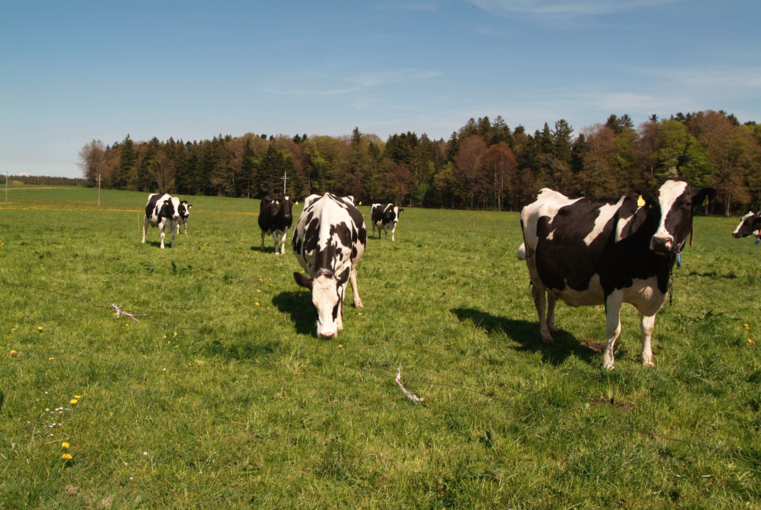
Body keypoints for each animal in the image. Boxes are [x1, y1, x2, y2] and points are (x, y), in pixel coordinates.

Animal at [290, 192, 366, 338]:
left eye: (336, 303)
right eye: (313, 304)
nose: (327, 334)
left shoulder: (345, 265)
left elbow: (342, 291)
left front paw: (338, 324)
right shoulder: (311, 266)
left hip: (354, 261)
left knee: (353, 277)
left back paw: (357, 302)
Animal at [520, 180, 716, 370]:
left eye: (687, 204)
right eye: (653, 206)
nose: (661, 241)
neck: (653, 268)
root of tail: (543, 191)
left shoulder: (654, 291)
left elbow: (648, 327)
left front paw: (646, 359)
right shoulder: (612, 287)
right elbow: (614, 328)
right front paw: (608, 362)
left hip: (551, 271)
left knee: (552, 296)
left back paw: (552, 327)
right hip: (532, 261)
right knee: (540, 299)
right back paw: (545, 334)